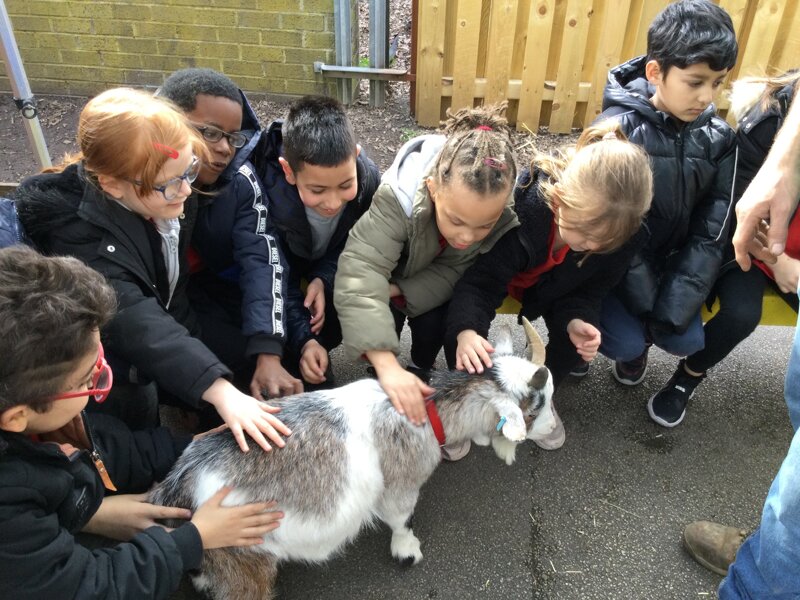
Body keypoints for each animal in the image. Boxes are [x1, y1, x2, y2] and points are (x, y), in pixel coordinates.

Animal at [152, 316, 564, 596]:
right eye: (533, 410)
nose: (551, 430)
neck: (427, 411)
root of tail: (176, 486)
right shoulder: (400, 484)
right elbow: (400, 517)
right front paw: (407, 552)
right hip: (242, 558)